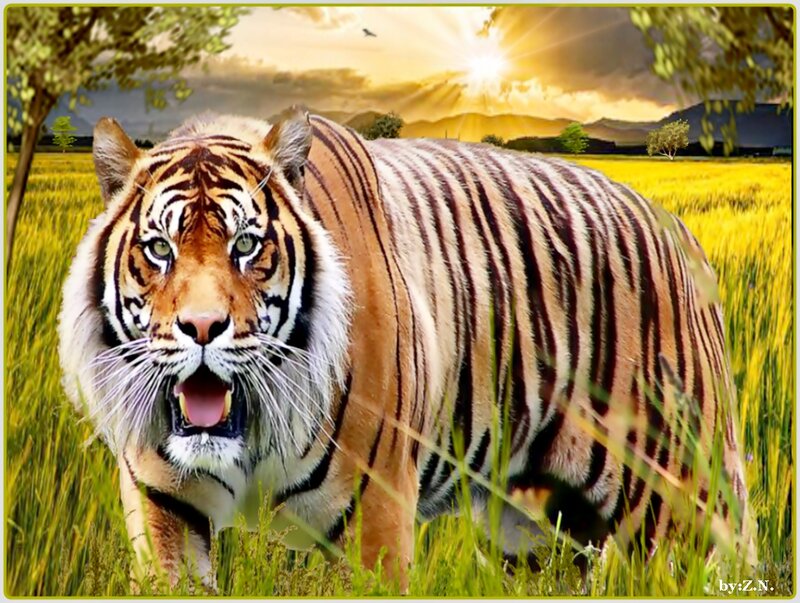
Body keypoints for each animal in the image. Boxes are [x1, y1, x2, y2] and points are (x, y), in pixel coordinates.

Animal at [58, 107, 756, 592]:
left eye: (247, 247)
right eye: (159, 250)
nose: (202, 329)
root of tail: (681, 231)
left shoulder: (375, 514)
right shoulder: (163, 509)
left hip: (681, 510)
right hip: (538, 533)